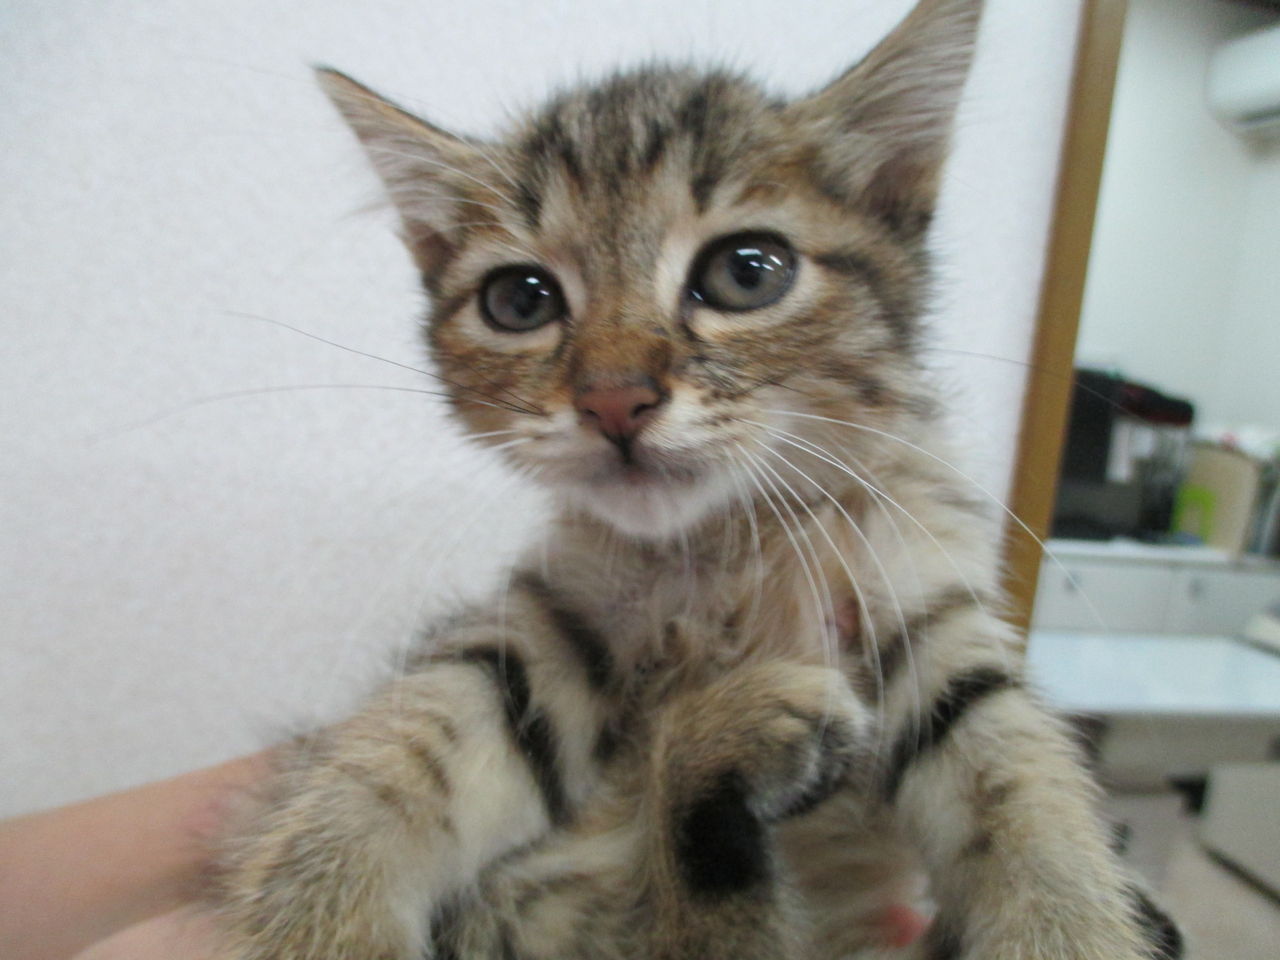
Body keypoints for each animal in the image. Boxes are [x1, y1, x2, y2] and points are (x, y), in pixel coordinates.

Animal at [210, 0, 1183, 957]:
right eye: (520, 299)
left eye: (746, 272)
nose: (612, 399)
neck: (728, 543)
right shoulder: (552, 618)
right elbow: (410, 740)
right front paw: (324, 913)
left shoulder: (925, 594)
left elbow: (1019, 779)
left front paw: (1068, 924)